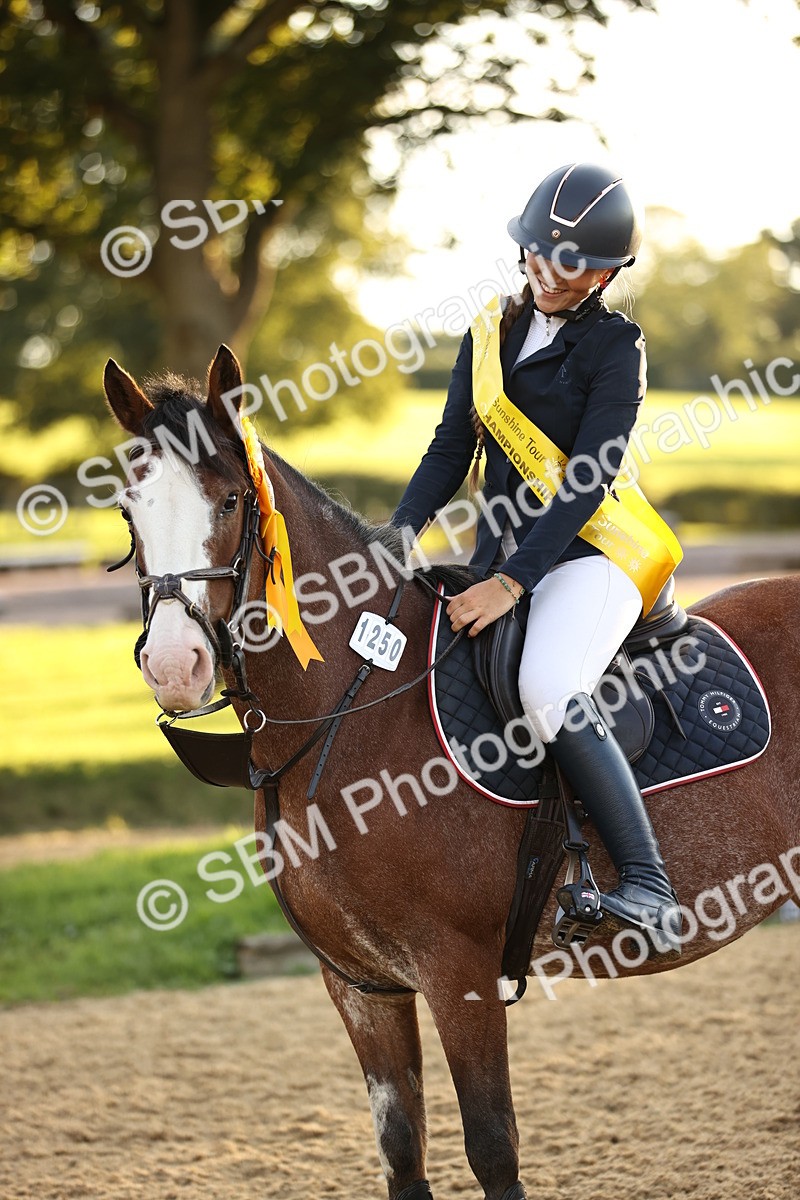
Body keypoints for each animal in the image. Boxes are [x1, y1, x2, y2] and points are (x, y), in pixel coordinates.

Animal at [103, 345, 800, 1200]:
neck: (357, 702)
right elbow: (401, 1148)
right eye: (129, 510)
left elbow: (492, 1146)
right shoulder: (360, 983)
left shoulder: (457, 971)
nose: (176, 666)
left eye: (232, 499)